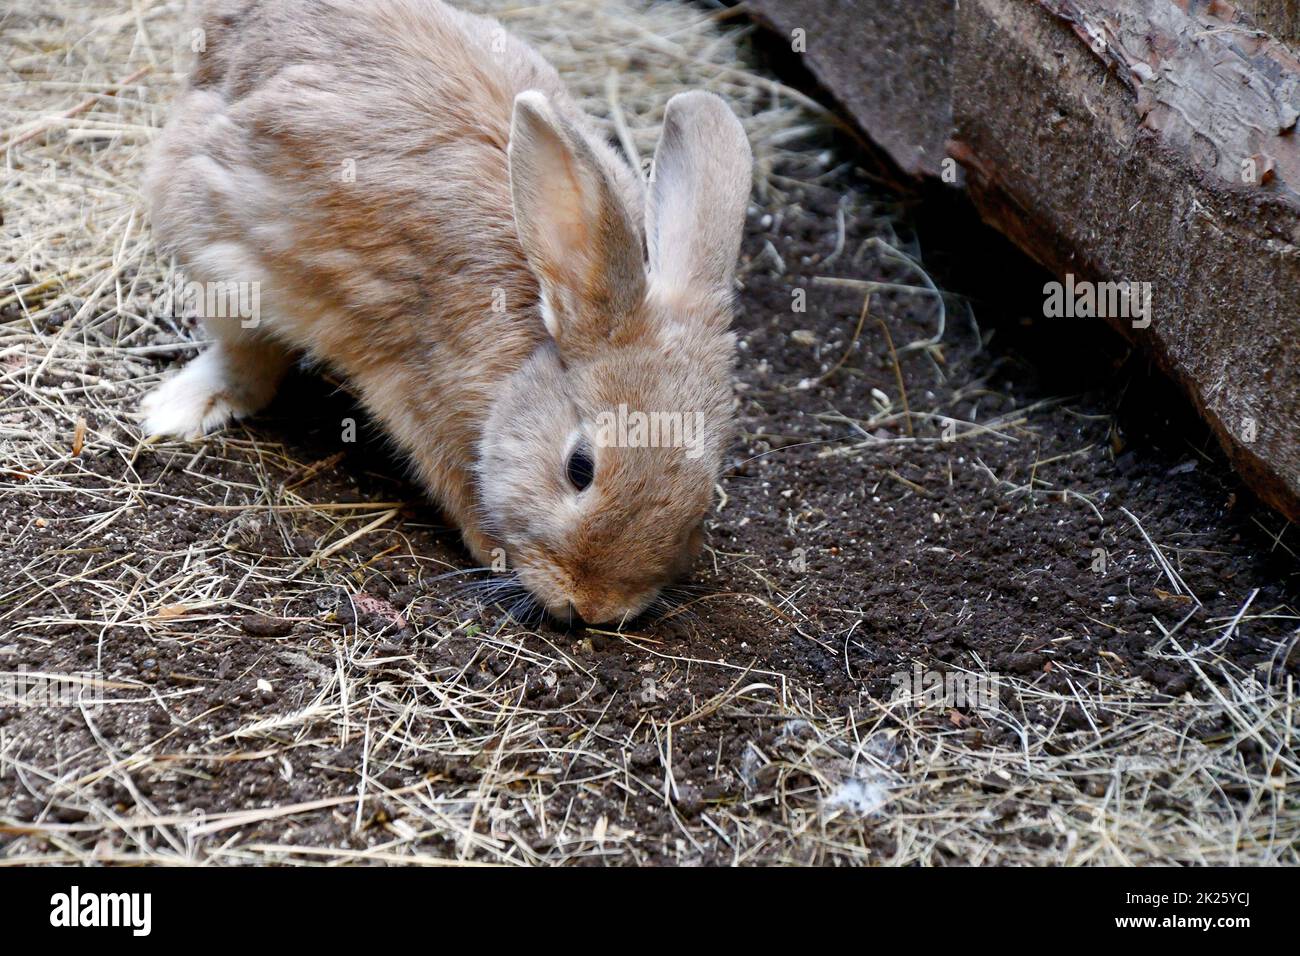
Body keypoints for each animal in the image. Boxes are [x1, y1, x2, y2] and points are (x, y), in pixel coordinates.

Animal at [140, 0, 753, 625]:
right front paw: (492, 550)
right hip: (216, 242)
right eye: (580, 468)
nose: (593, 606)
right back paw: (176, 411)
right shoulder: (420, 394)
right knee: (244, 353)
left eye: (704, 496)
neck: (539, 338)